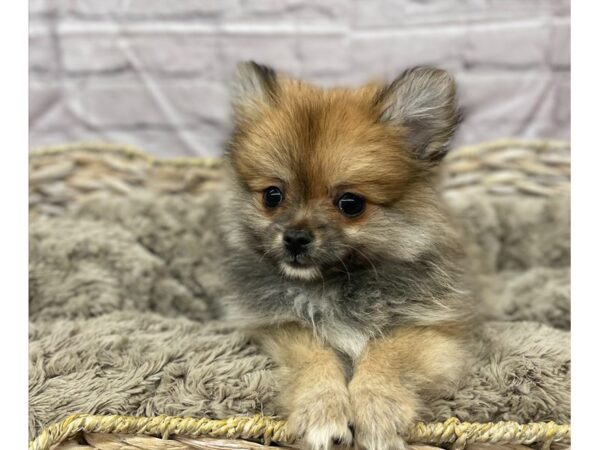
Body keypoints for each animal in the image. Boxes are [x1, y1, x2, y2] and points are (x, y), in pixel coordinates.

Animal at [220, 62, 478, 450]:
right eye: (272, 196)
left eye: (350, 204)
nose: (295, 238)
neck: (333, 284)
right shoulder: (276, 326)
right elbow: (315, 355)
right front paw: (322, 411)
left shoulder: (434, 329)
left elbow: (387, 352)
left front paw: (377, 410)